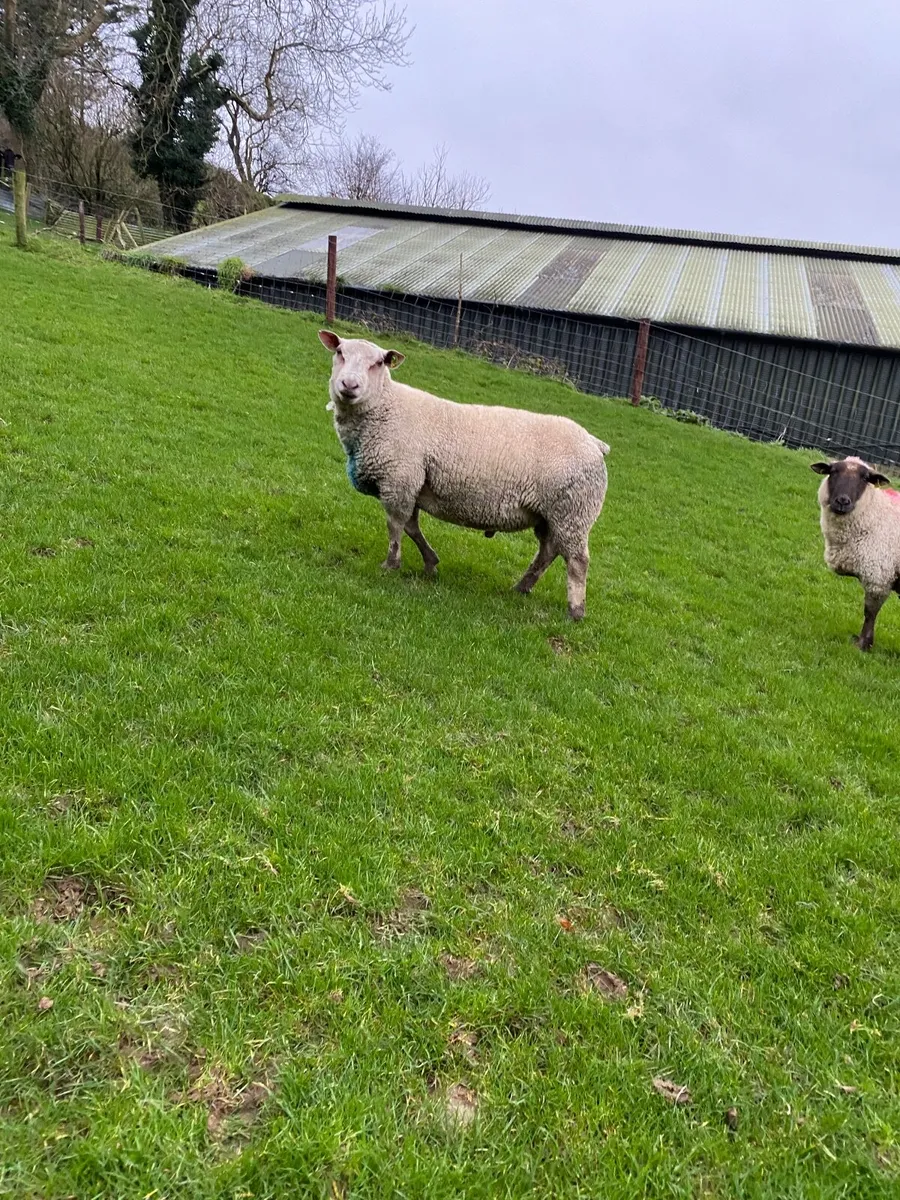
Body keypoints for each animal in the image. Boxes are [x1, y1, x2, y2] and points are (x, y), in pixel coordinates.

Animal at [318, 330, 611, 620]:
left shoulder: (399, 480)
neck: (385, 408)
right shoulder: (411, 485)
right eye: (340, 352)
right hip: (551, 515)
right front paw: (430, 563)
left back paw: (575, 611)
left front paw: (391, 565)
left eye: (378, 363)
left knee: (577, 561)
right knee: (548, 551)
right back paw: (522, 587)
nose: (349, 385)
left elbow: (396, 527)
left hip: (573, 512)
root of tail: (595, 443)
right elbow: (412, 528)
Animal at [811, 455, 900, 650]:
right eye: (833, 471)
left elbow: (870, 612)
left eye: (865, 478)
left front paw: (863, 644)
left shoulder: (878, 576)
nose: (842, 501)